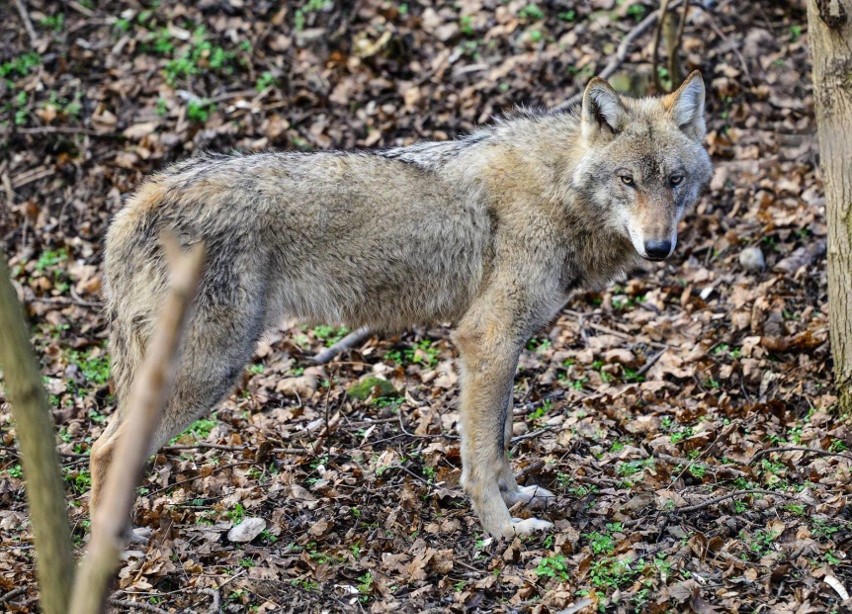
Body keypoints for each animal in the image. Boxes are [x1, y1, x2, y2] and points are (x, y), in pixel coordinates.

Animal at [90, 73, 712, 540]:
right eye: (627, 180)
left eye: (674, 180)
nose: (660, 247)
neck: (557, 189)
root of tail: (138, 200)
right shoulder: (485, 339)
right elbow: (480, 453)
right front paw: (503, 529)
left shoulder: (504, 348)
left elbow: (500, 442)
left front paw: (517, 498)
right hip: (208, 371)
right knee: (106, 448)